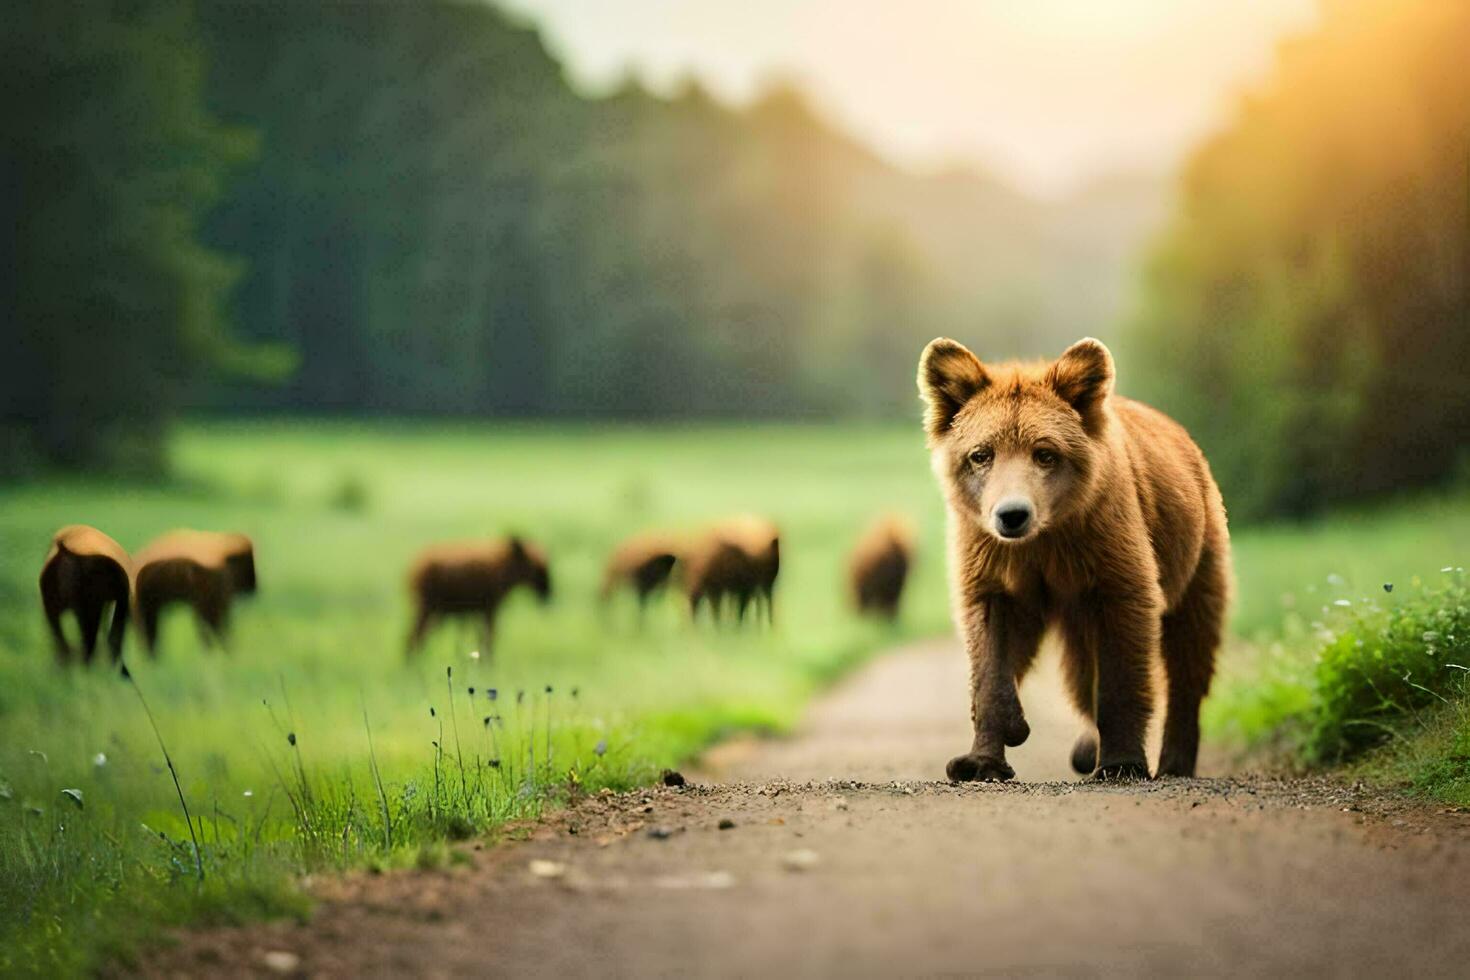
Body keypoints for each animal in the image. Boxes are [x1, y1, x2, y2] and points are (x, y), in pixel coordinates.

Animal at [402, 537, 552, 658]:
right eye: (538, 568)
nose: (548, 593)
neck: (505, 565)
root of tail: (415, 566)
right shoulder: (489, 609)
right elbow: (488, 639)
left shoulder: (481, 612)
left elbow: (484, 640)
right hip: (426, 608)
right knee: (412, 638)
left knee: (417, 638)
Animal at [917, 337, 1228, 781]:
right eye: (981, 453)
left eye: (1045, 453)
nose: (1012, 514)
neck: (1045, 536)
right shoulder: (993, 563)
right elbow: (991, 648)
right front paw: (983, 757)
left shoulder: (1106, 554)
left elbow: (1124, 656)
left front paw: (1122, 762)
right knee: (1081, 676)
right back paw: (1086, 748)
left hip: (1195, 554)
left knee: (1190, 651)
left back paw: (1173, 761)